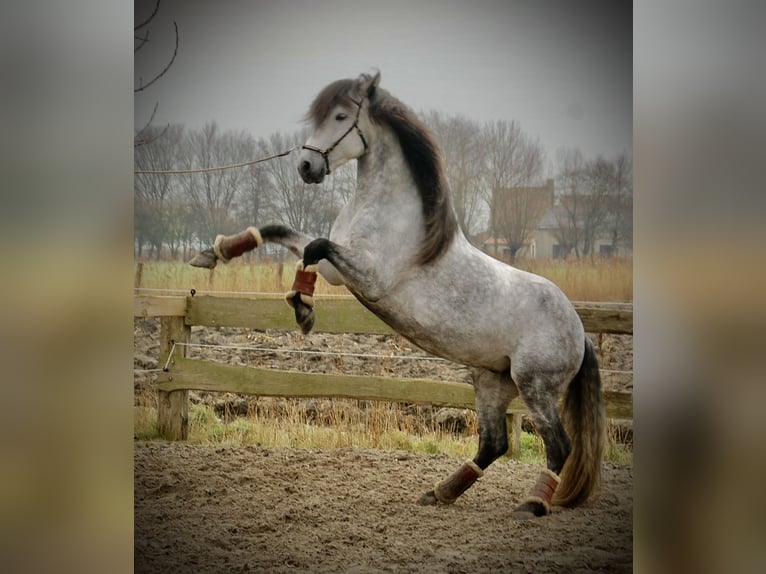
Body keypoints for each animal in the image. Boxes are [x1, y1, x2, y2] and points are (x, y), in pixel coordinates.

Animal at [190, 72, 608, 520]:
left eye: (340, 116)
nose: (306, 166)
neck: (389, 214)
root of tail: (579, 331)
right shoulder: (337, 269)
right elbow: (285, 235)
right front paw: (214, 254)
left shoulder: (367, 276)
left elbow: (314, 246)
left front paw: (303, 309)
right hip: (491, 381)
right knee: (494, 443)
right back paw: (440, 493)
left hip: (536, 385)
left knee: (558, 444)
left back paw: (531, 504)